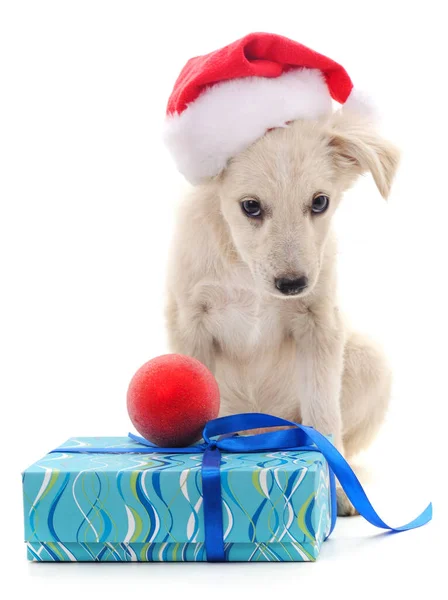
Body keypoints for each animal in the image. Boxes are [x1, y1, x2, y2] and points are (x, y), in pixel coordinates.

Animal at [164, 112, 400, 516]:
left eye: (319, 202)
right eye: (251, 206)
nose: (292, 284)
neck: (245, 271)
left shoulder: (319, 324)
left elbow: (324, 414)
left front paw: (337, 489)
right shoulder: (190, 324)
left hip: (369, 361)